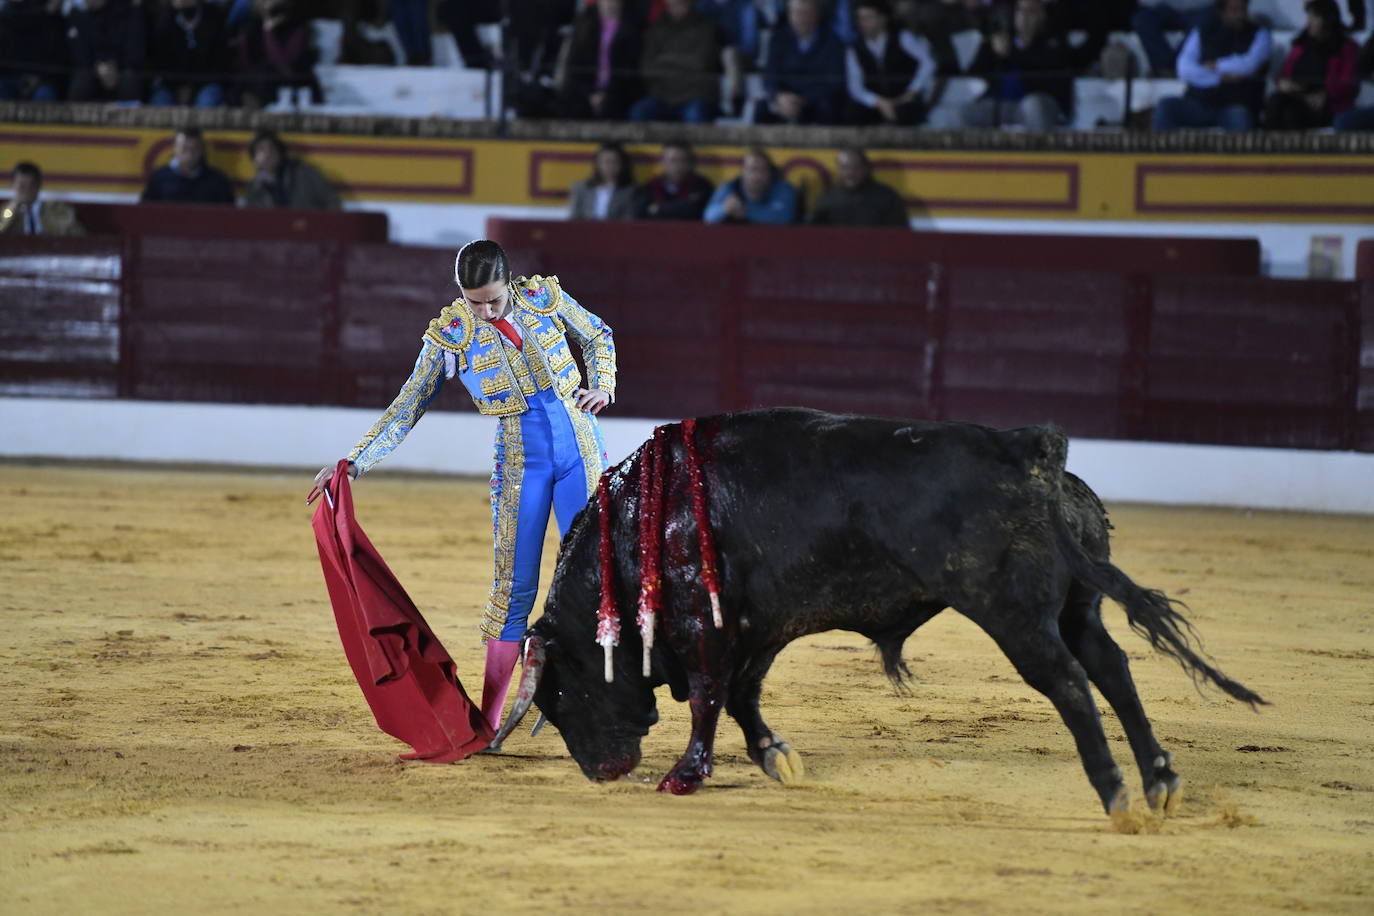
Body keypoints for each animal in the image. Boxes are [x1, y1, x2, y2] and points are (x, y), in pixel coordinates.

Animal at [494, 409, 1264, 823]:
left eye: (558, 694)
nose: (601, 772)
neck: (639, 532)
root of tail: (1027, 452)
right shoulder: (759, 627)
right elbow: (743, 696)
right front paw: (777, 757)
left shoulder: (705, 630)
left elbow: (710, 699)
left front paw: (685, 775)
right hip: (1078, 607)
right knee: (1112, 667)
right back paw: (1159, 781)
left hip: (1012, 614)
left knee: (1073, 684)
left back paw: (1115, 795)